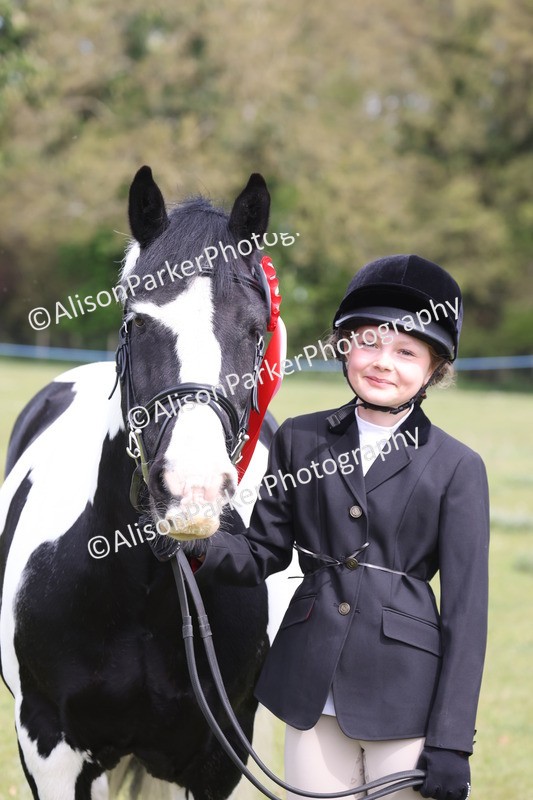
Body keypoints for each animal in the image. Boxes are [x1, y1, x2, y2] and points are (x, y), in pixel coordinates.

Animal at [0, 167, 291, 800]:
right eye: (136, 322)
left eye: (256, 330)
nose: (192, 491)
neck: (148, 591)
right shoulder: (50, 748)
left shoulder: (217, 758)